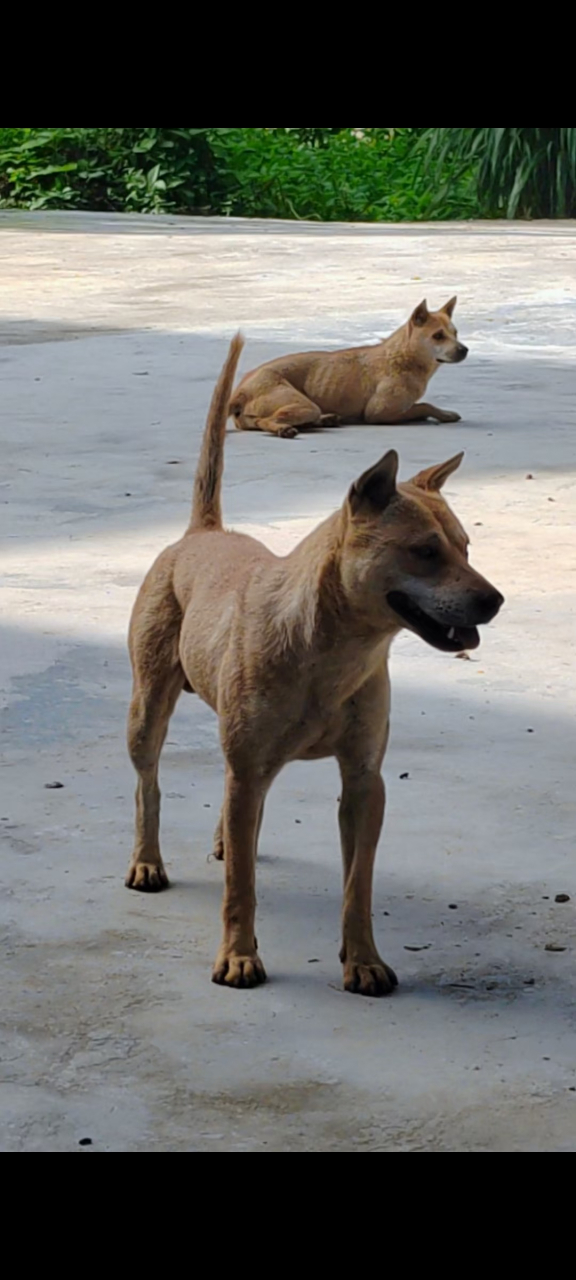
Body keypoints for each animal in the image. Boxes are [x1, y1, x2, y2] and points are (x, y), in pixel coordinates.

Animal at [124, 337, 499, 998]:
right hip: (148, 711)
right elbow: (240, 890)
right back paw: (148, 860)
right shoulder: (247, 767)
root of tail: (202, 533)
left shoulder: (365, 781)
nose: (496, 600)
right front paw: (239, 957)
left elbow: (358, 886)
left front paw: (363, 960)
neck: (334, 649)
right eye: (424, 552)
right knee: (150, 784)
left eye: (465, 548)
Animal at [229, 299, 468, 440]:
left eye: (455, 333)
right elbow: (424, 406)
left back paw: (326, 419)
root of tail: (240, 391)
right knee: (265, 421)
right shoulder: (379, 413)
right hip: (304, 405)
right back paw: (284, 428)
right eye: (438, 336)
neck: (403, 357)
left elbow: (424, 405)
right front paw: (441, 414)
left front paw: (445, 413)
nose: (464, 350)